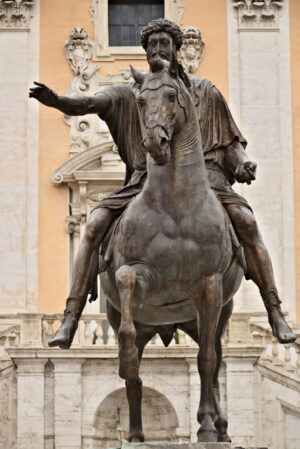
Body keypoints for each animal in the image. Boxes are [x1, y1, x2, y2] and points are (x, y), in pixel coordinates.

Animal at [99, 57, 245, 442]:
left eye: (170, 95)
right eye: (139, 101)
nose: (154, 140)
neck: (176, 202)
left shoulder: (208, 288)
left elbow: (207, 361)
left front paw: (206, 425)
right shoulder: (139, 273)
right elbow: (126, 290)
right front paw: (126, 359)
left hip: (212, 316)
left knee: (215, 360)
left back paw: (218, 427)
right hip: (141, 320)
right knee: (135, 376)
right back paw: (136, 433)